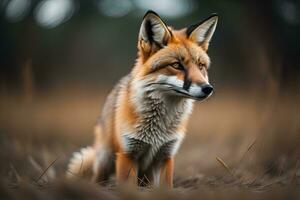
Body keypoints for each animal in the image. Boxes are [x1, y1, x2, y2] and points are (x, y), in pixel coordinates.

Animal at [67, 9, 218, 188]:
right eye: (176, 65)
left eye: (201, 66)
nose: (207, 88)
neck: (159, 128)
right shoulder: (127, 154)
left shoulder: (166, 154)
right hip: (105, 160)